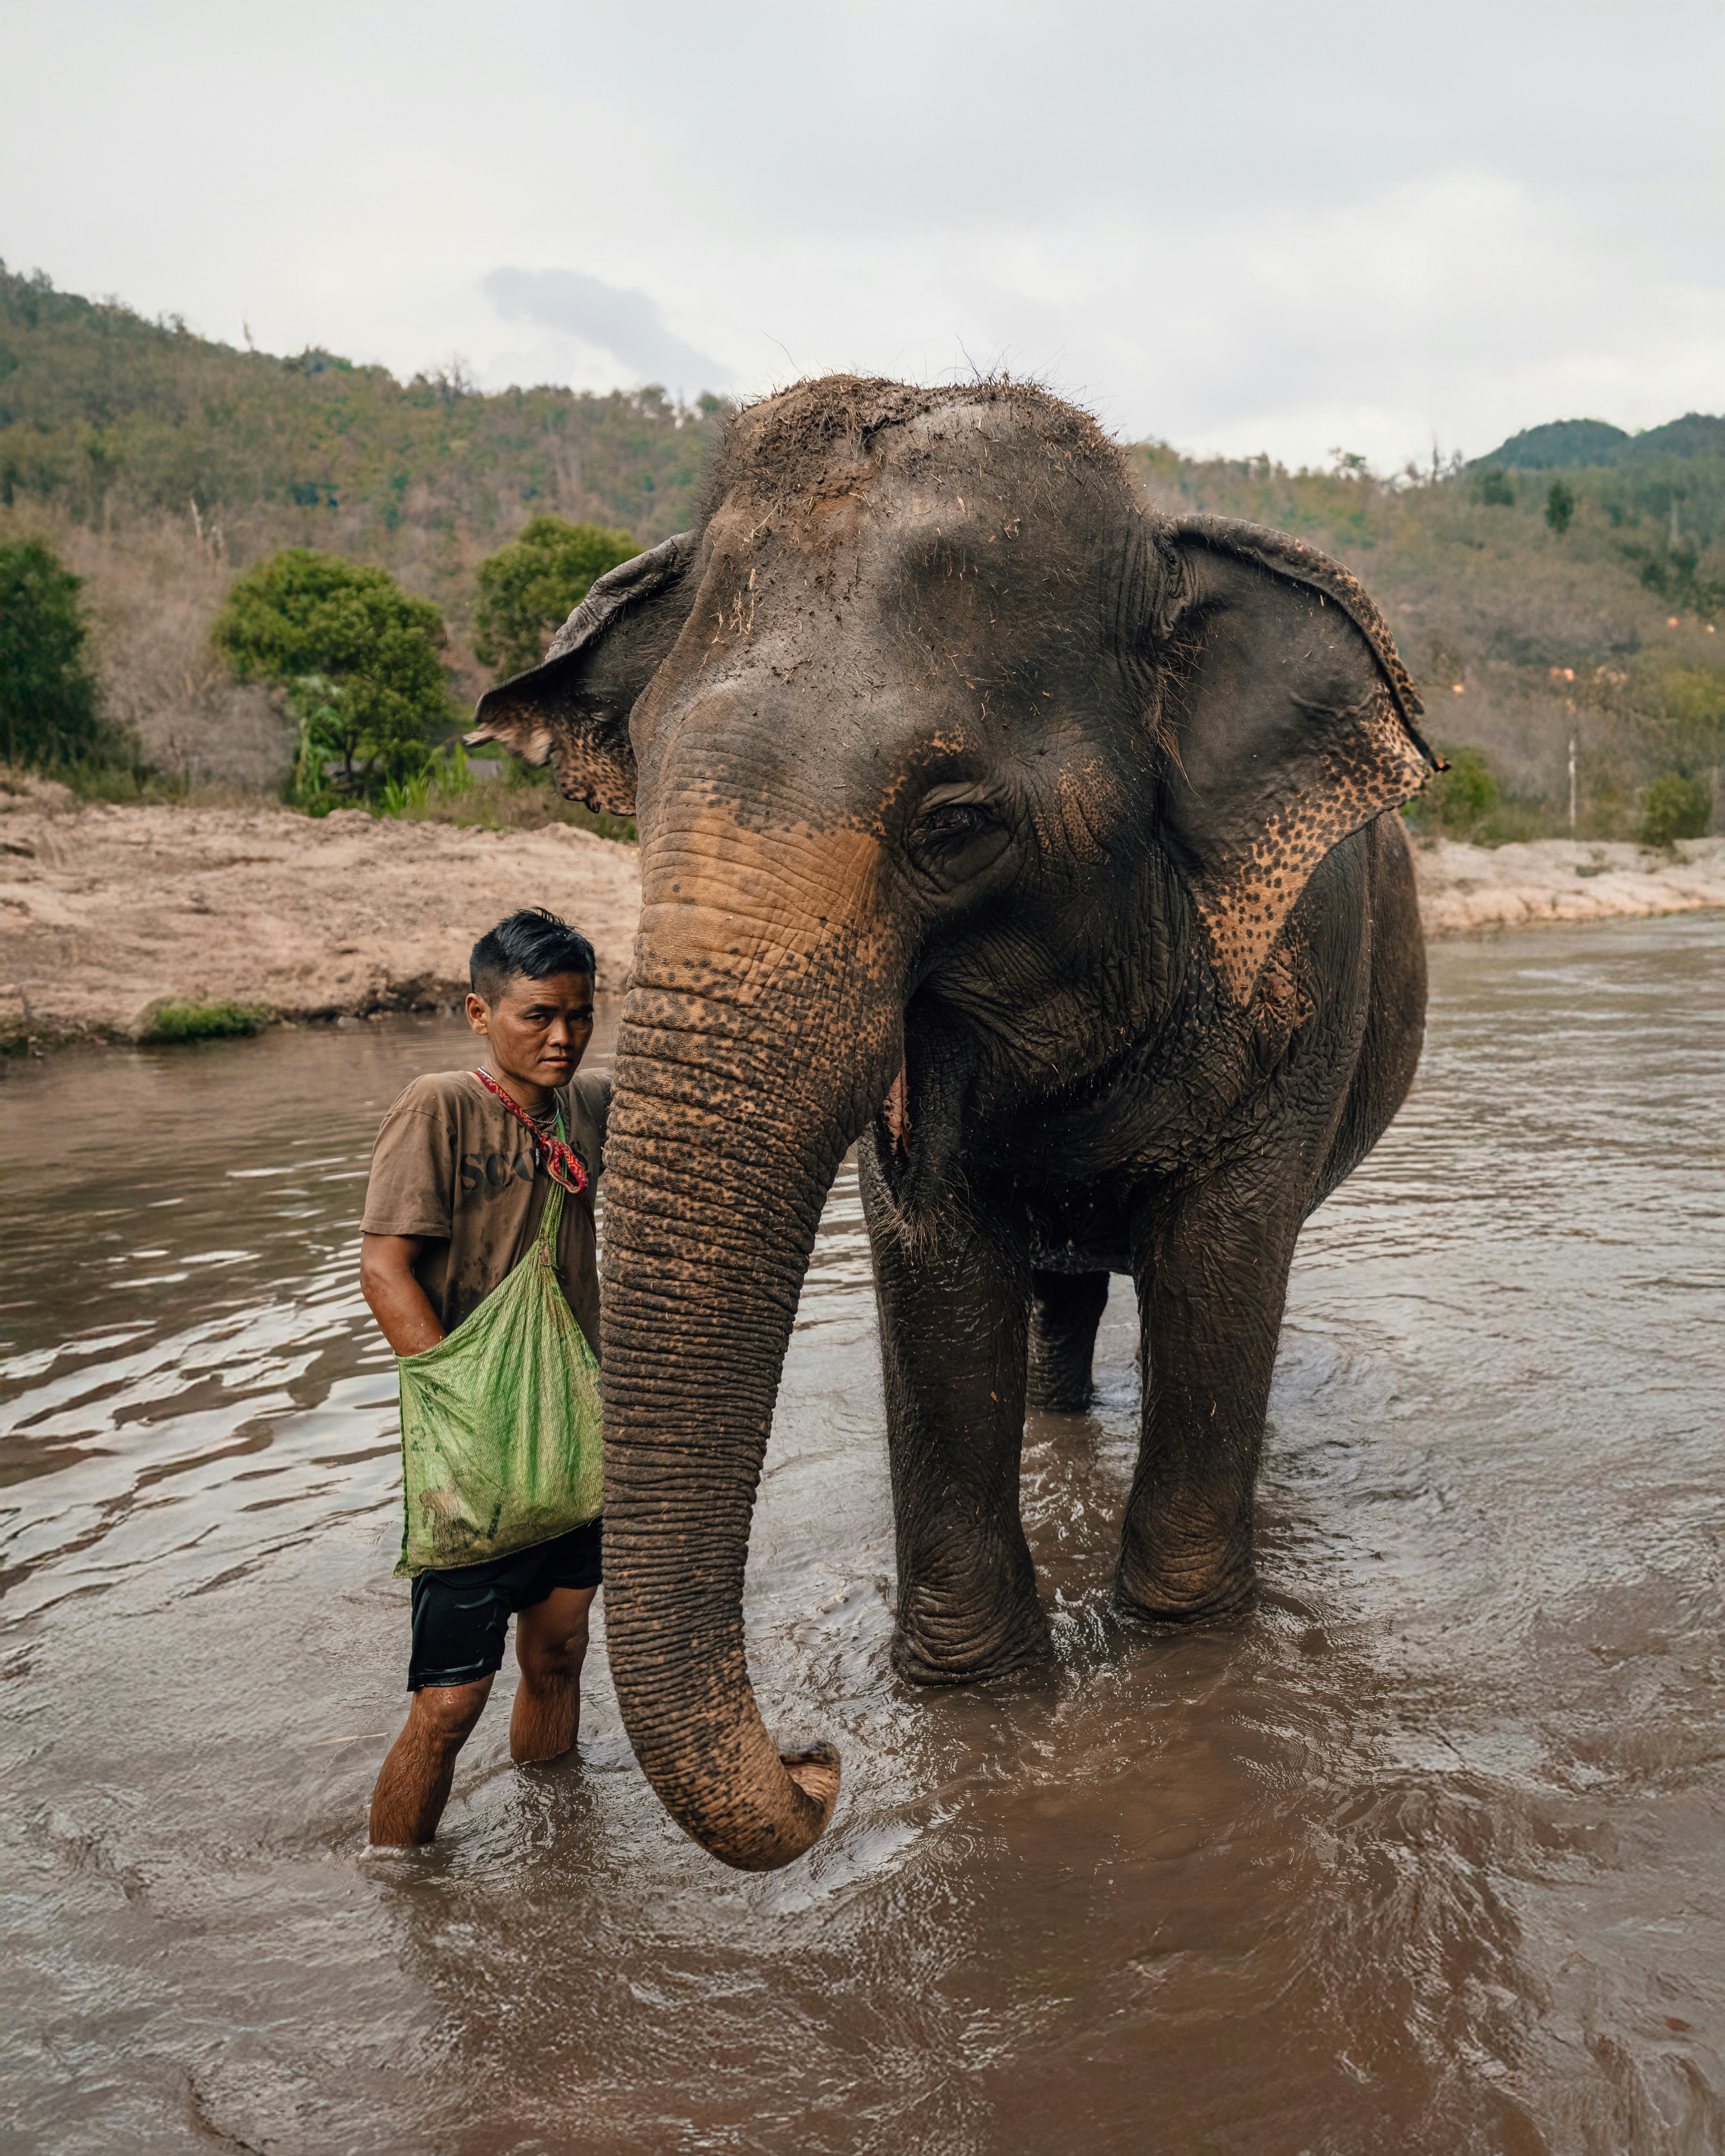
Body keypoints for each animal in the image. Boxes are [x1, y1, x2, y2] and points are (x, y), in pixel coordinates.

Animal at [467, 376, 1436, 1875]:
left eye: (958, 824)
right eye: (640, 785)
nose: (818, 1763)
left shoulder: (1300, 990)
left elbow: (1220, 1260)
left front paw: (1179, 1667)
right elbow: (939, 1272)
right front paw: (976, 1704)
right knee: (1059, 1295)